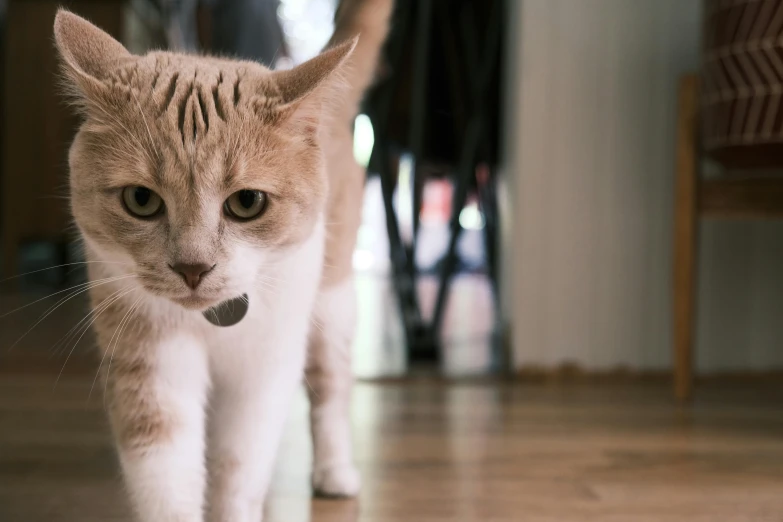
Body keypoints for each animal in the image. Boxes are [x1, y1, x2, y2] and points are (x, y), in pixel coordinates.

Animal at [55, 2, 396, 516]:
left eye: (247, 202)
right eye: (140, 199)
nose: (192, 267)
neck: (211, 323)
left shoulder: (265, 368)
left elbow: (239, 466)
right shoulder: (151, 358)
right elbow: (166, 471)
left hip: (332, 301)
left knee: (331, 386)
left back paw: (335, 472)